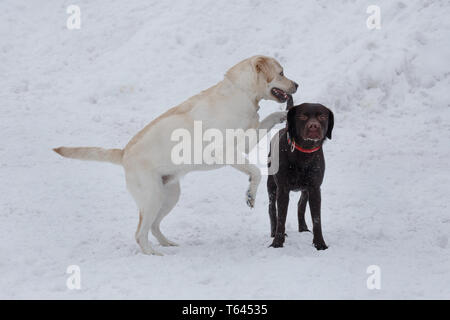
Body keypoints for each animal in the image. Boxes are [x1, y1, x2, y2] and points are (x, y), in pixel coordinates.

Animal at [53, 55, 298, 255]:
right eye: (282, 72)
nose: (297, 84)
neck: (241, 92)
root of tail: (124, 153)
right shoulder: (225, 152)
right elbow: (255, 172)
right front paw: (250, 195)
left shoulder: (247, 140)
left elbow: (267, 120)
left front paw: (282, 115)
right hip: (153, 197)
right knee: (140, 233)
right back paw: (153, 254)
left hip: (169, 195)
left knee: (153, 226)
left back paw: (168, 244)